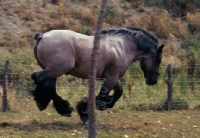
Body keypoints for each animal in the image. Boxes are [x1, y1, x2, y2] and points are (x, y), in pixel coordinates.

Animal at [30, 26, 164, 123]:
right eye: (159, 59)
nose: (153, 80)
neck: (122, 46)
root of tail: (42, 36)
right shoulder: (111, 78)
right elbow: (102, 94)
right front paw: (86, 112)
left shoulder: (113, 77)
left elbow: (118, 92)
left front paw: (104, 104)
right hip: (57, 69)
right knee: (38, 77)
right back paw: (59, 107)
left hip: (53, 71)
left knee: (48, 86)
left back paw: (54, 106)